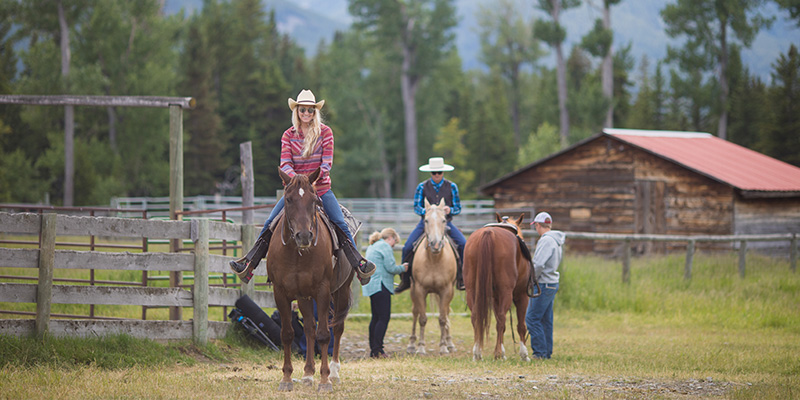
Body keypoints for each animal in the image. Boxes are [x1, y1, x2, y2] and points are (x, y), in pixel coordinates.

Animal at [268, 167, 352, 392]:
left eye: (314, 200)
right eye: (288, 199)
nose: (304, 236)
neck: (297, 254)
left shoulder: (322, 291)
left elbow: (324, 334)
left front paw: (324, 381)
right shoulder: (281, 293)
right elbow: (288, 333)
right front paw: (287, 379)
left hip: (341, 290)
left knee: (337, 328)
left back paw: (334, 372)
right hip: (303, 297)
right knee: (308, 329)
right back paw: (307, 374)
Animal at [406, 197, 456, 354]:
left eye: (444, 220)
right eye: (426, 220)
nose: (435, 244)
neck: (434, 260)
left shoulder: (446, 291)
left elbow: (442, 319)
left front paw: (444, 347)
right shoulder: (420, 290)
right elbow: (422, 318)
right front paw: (421, 347)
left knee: (447, 313)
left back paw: (450, 343)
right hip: (413, 291)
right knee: (415, 312)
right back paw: (411, 344)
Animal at [462, 214, 532, 360]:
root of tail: (489, 233)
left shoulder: (495, 298)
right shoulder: (521, 296)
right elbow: (520, 325)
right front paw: (523, 354)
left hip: (472, 290)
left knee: (475, 317)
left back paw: (477, 353)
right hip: (507, 292)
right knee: (501, 319)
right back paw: (498, 353)